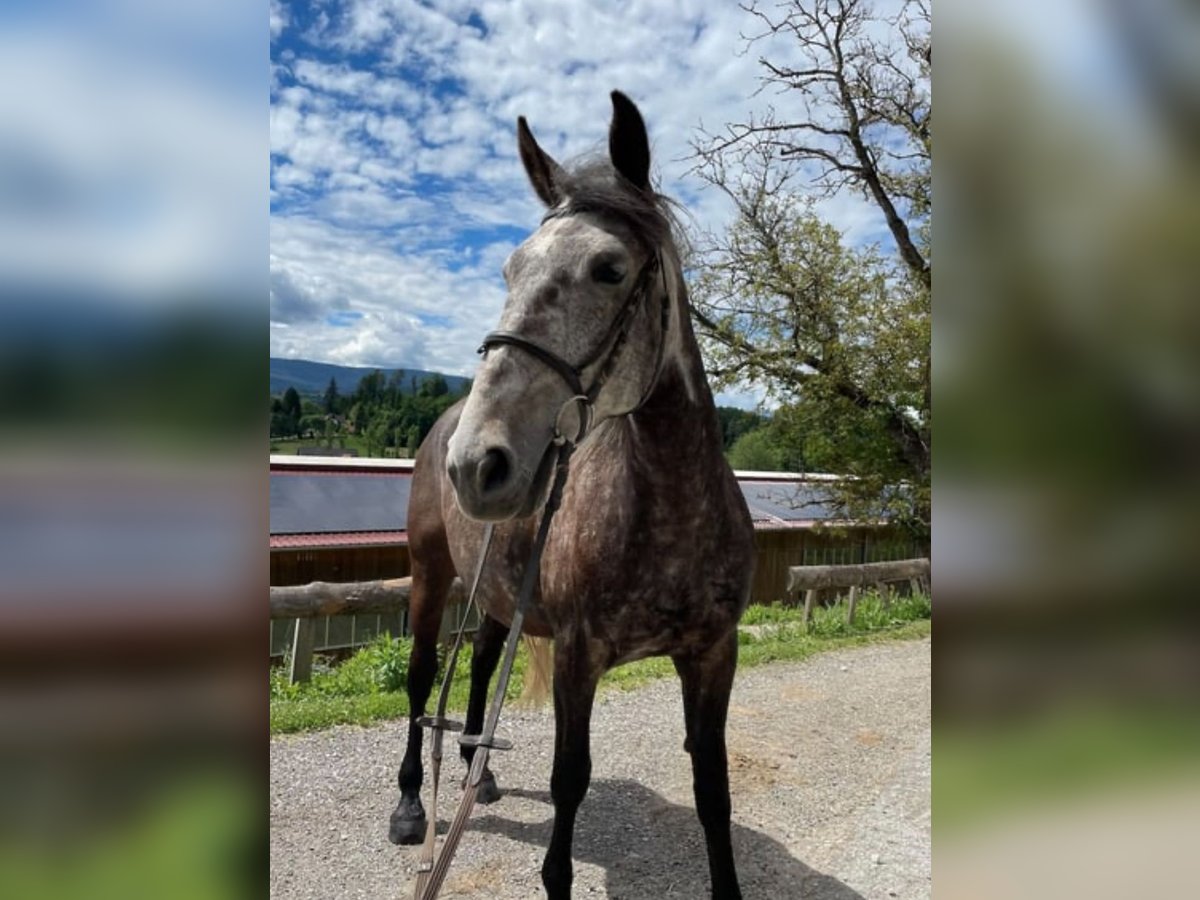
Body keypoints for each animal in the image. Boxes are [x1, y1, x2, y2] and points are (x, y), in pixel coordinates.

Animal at [388, 88, 753, 897]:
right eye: (510, 269)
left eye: (609, 268)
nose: (477, 464)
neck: (670, 514)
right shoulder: (578, 660)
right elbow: (568, 784)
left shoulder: (714, 655)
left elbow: (713, 789)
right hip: (430, 574)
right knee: (422, 680)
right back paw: (410, 804)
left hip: (497, 594)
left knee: (480, 664)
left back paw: (478, 770)